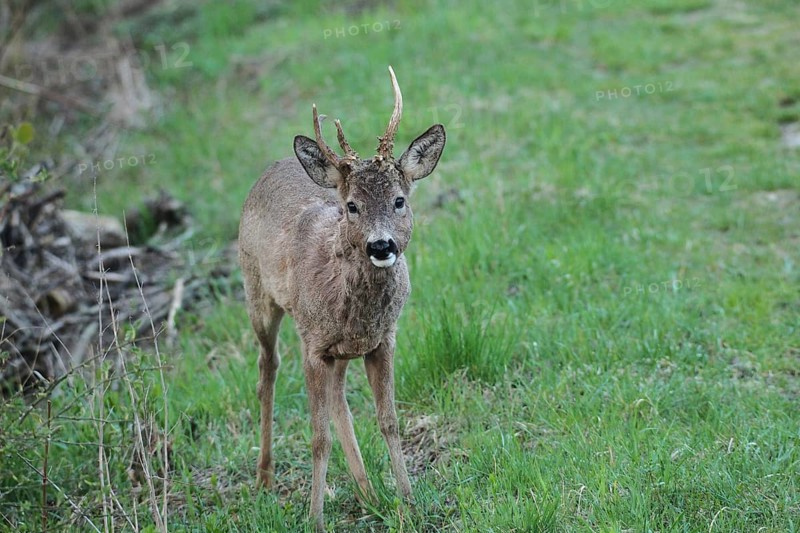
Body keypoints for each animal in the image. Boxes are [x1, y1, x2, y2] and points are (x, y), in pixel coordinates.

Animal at [238, 66, 446, 530]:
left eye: (399, 200)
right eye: (351, 206)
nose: (381, 245)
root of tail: (272, 168)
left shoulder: (382, 340)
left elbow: (388, 421)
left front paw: (408, 502)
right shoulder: (313, 345)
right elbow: (318, 438)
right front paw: (314, 518)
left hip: (339, 350)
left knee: (338, 400)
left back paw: (368, 492)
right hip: (257, 292)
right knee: (266, 368)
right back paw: (264, 476)